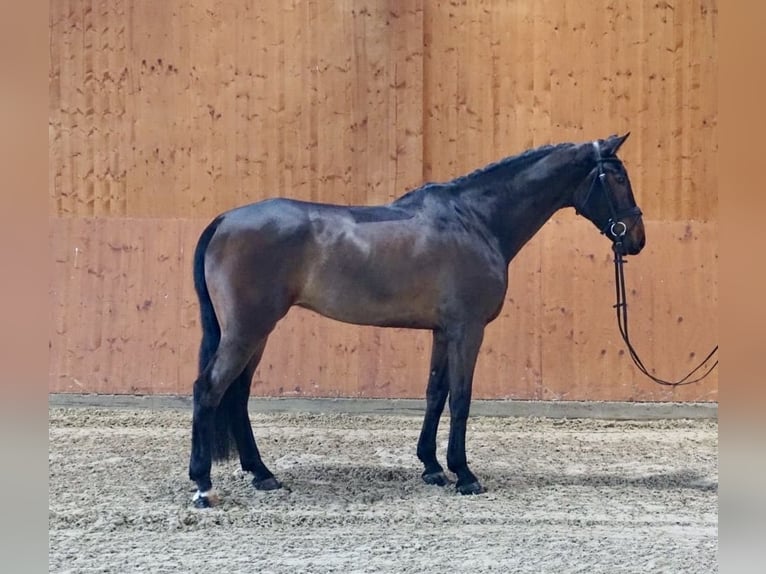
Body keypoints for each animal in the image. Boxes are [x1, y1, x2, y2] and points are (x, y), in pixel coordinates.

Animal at [189, 133, 644, 506]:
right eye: (618, 177)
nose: (636, 239)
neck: (475, 220)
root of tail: (224, 221)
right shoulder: (467, 330)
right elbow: (461, 398)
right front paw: (464, 474)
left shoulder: (443, 332)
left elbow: (435, 393)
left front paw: (432, 467)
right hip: (247, 330)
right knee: (209, 389)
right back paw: (203, 486)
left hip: (256, 332)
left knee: (238, 395)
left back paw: (262, 474)